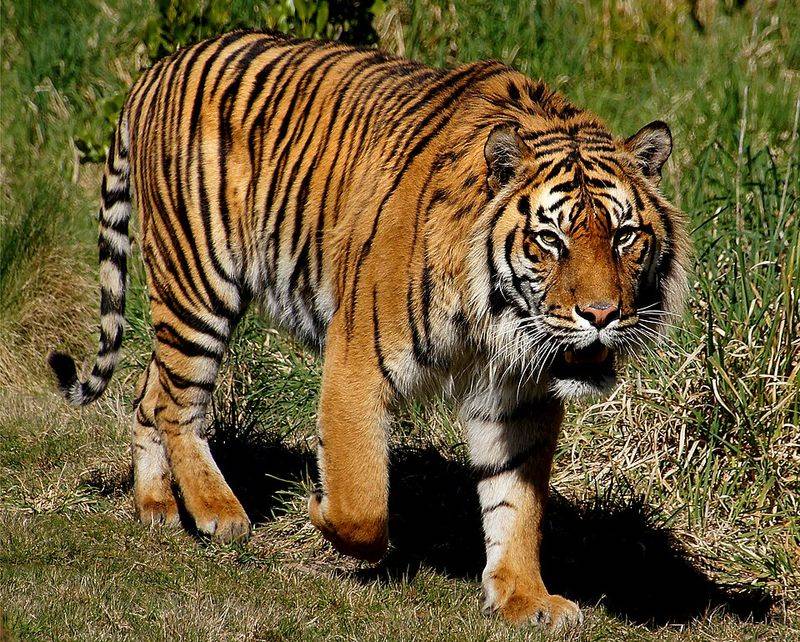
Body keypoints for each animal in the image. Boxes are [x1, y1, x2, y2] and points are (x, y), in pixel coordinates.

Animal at [48, 30, 690, 628]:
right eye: (550, 239)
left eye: (624, 236)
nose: (602, 315)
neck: (497, 319)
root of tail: (156, 69)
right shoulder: (358, 356)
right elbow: (363, 501)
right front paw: (319, 509)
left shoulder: (518, 396)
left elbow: (516, 501)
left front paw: (524, 598)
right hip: (198, 281)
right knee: (179, 403)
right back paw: (217, 511)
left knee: (149, 395)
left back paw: (156, 504)